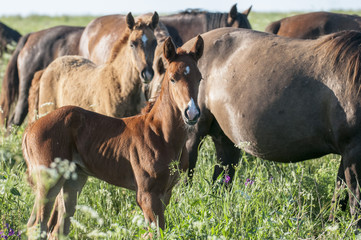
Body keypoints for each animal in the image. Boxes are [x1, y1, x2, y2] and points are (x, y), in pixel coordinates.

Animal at [21, 35, 202, 238]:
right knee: (36, 225)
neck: (161, 134)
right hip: (48, 181)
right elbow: (155, 233)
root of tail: (31, 127)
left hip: (72, 181)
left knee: (59, 228)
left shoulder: (166, 193)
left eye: (200, 78)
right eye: (172, 79)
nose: (192, 113)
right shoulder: (146, 195)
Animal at [180, 28, 361, 227]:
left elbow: (340, 196)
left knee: (221, 181)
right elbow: (355, 201)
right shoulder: (353, 152)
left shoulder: (347, 154)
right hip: (193, 134)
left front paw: (332, 226)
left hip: (226, 140)